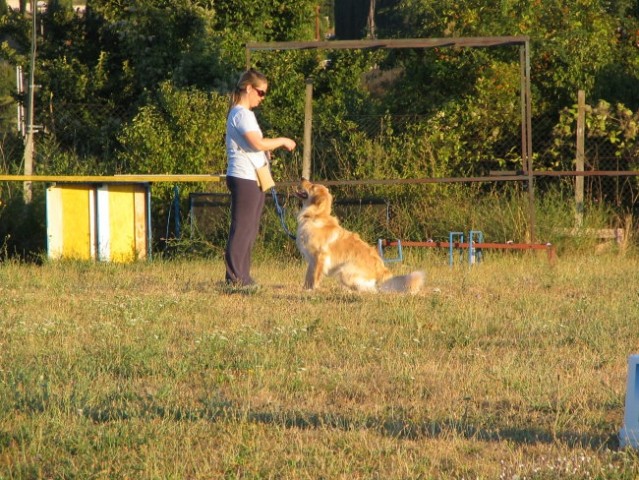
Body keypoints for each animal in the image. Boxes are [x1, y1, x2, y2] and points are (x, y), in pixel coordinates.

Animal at [296, 179, 424, 294]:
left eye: (312, 186)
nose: (302, 178)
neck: (315, 216)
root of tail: (383, 271)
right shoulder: (312, 260)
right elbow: (308, 276)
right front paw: (305, 289)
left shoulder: (320, 256)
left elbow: (315, 276)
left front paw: (313, 290)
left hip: (345, 270)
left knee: (371, 290)